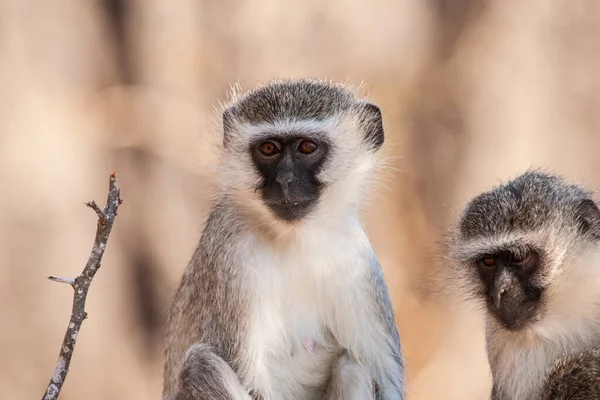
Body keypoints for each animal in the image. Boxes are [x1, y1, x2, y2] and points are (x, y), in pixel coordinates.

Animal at [162, 79, 404, 400]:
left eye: (307, 147)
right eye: (268, 148)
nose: (285, 181)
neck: (296, 240)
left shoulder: (357, 262)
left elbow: (386, 380)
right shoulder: (231, 254)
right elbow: (248, 378)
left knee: (351, 366)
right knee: (202, 366)